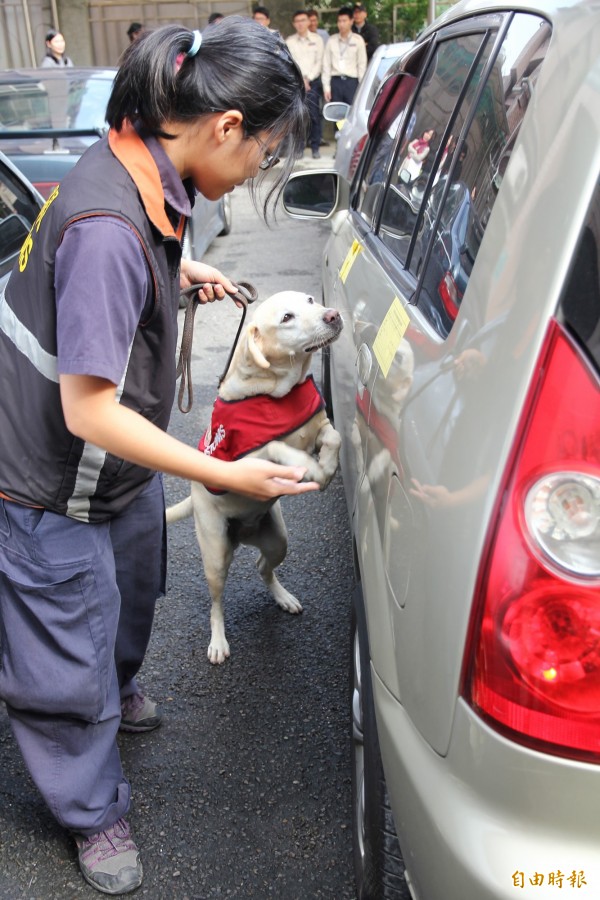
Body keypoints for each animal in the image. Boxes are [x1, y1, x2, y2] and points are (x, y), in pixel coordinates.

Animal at [165, 292, 342, 664]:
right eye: (287, 317)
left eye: (310, 300)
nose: (332, 315)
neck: (279, 392)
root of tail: (243, 534)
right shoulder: (248, 458)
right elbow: (277, 445)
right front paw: (314, 469)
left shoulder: (320, 427)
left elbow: (333, 437)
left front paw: (327, 467)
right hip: (216, 555)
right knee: (216, 603)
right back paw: (218, 641)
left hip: (277, 540)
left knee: (263, 565)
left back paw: (283, 597)